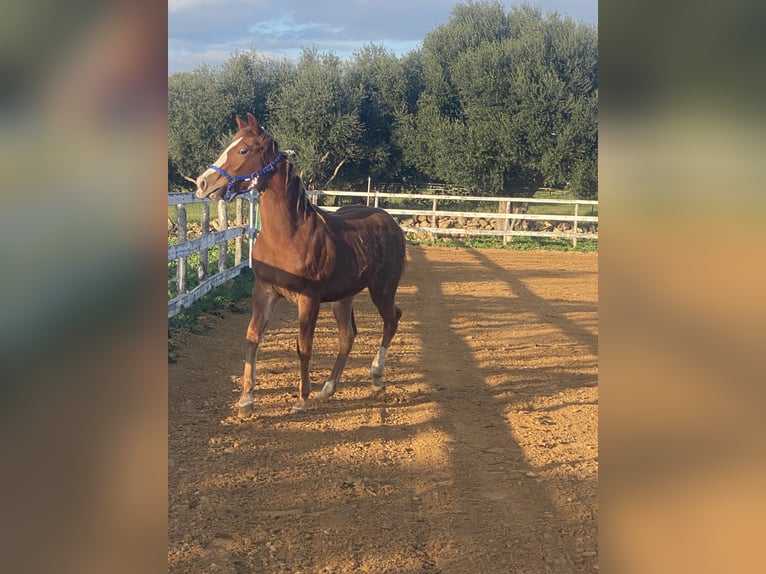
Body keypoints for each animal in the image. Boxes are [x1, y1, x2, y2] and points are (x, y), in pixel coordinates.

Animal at [195, 113, 405, 415]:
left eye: (243, 150)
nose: (202, 183)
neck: (289, 235)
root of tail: (391, 222)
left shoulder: (309, 299)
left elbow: (304, 346)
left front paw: (301, 399)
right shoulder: (265, 291)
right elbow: (252, 336)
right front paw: (246, 400)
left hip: (382, 289)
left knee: (391, 319)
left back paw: (376, 378)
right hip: (344, 298)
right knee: (347, 335)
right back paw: (327, 389)